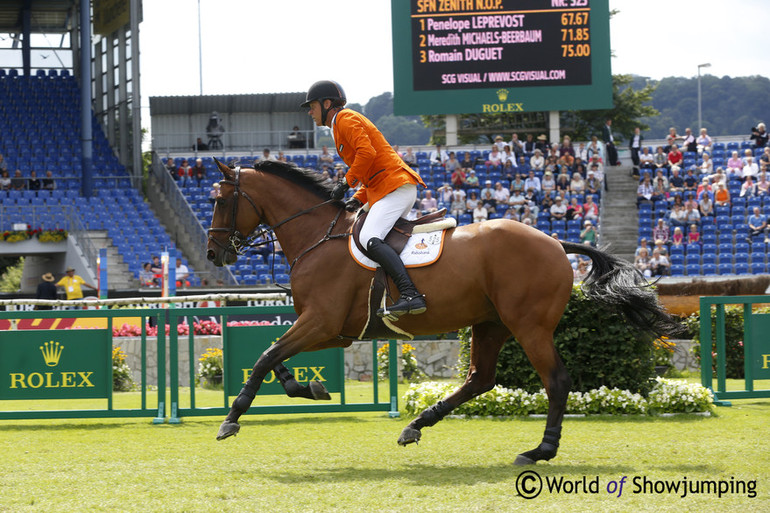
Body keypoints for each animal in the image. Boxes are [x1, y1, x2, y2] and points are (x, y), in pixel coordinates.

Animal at [206, 159, 680, 464]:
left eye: (221, 201)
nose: (213, 254)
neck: (317, 236)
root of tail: (554, 241)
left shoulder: (321, 322)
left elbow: (266, 356)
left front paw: (231, 419)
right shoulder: (332, 330)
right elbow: (273, 356)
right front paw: (308, 389)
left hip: (528, 326)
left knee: (555, 381)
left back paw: (540, 450)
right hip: (490, 324)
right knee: (480, 379)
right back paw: (416, 424)